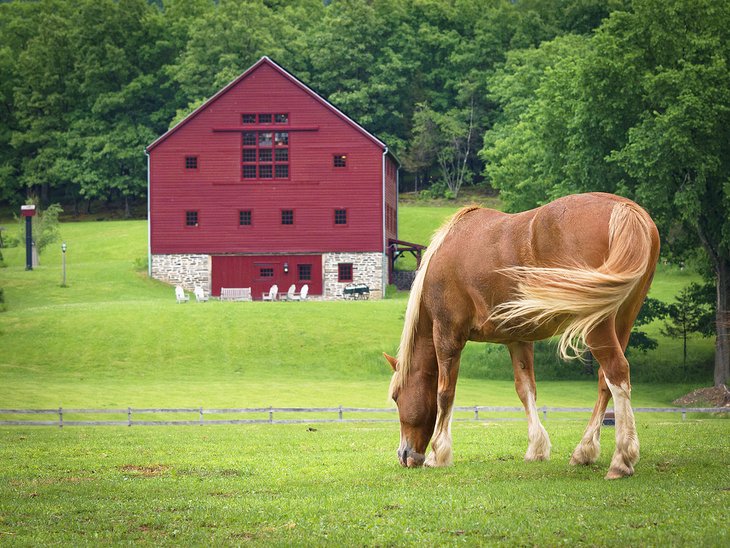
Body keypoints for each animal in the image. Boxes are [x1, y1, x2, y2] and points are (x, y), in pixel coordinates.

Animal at [386, 193, 660, 480]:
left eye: (395, 397)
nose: (405, 455)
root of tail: (625, 208)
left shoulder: (447, 334)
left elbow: (445, 393)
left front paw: (439, 454)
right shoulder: (517, 339)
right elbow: (526, 389)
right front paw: (536, 449)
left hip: (597, 324)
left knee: (617, 372)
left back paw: (621, 460)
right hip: (623, 320)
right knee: (605, 381)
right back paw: (584, 451)